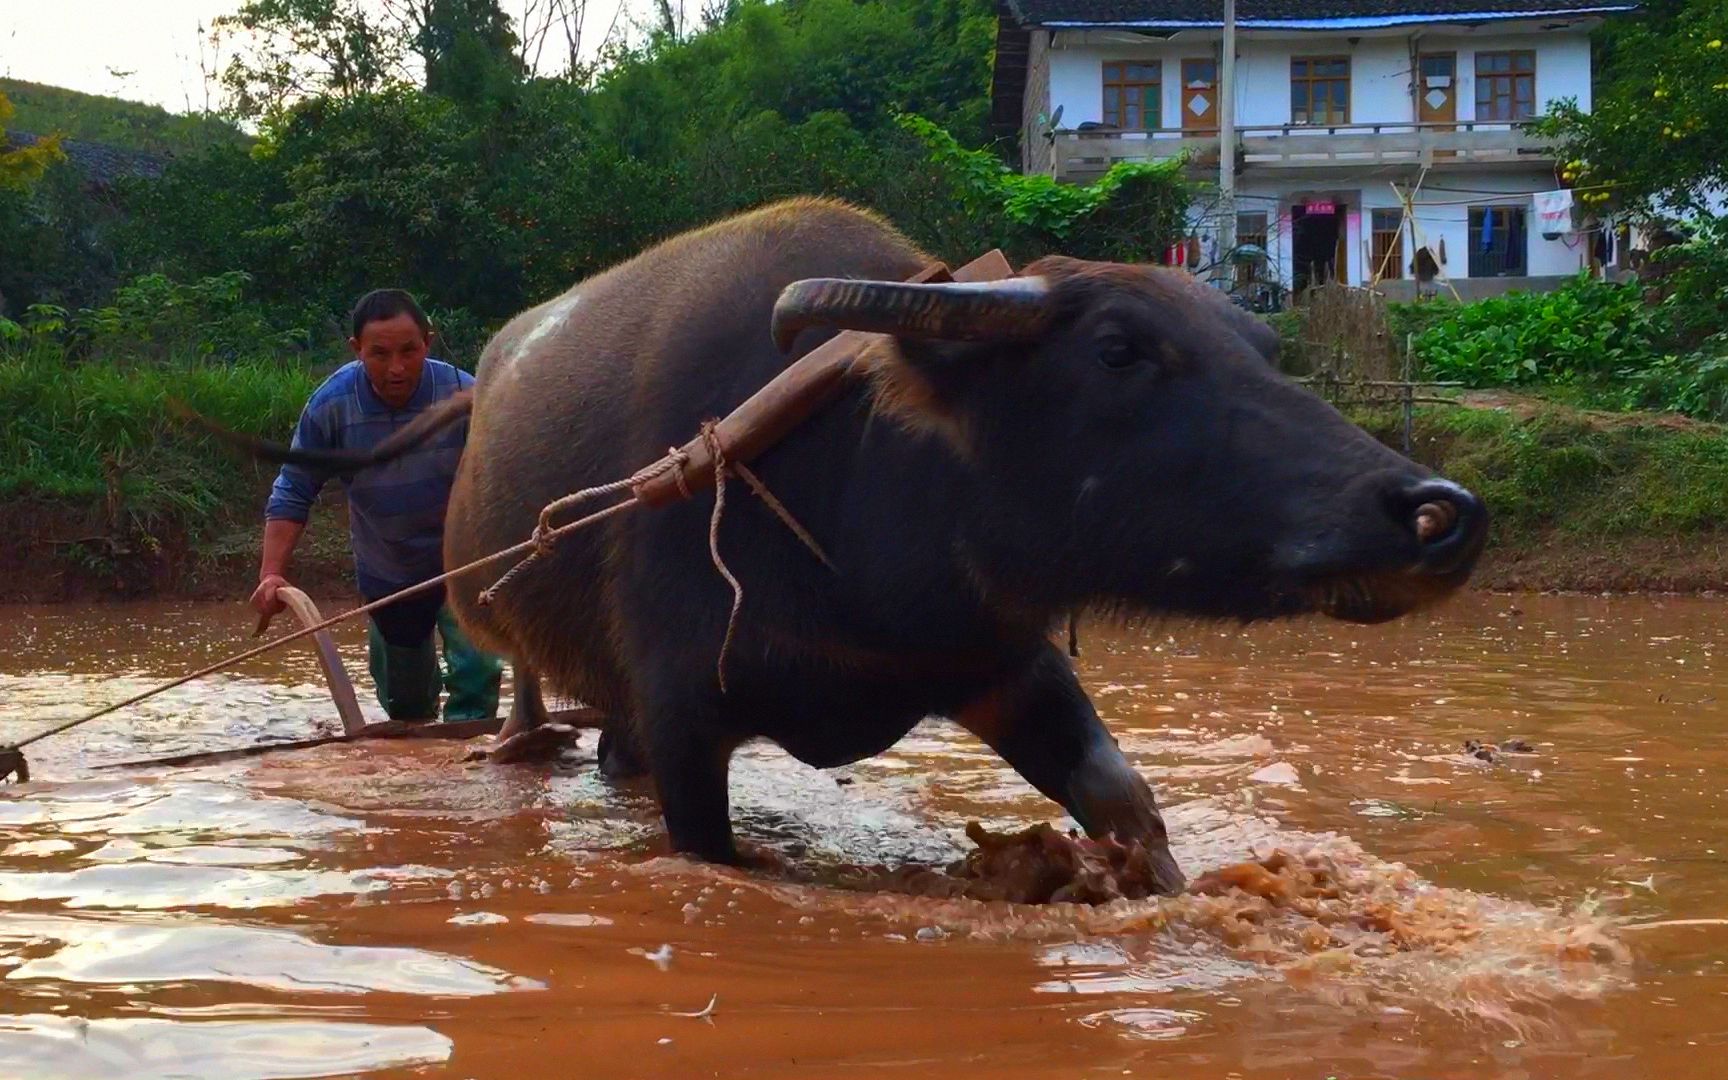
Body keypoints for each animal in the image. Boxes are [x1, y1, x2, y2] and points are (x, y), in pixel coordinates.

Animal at [212, 197, 1486, 891]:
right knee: (524, 687)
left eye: (1262, 354)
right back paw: (513, 739)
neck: (855, 490)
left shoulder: (995, 654)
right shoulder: (687, 718)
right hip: (503, 615)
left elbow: (1121, 795)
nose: (1436, 512)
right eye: (1120, 350)